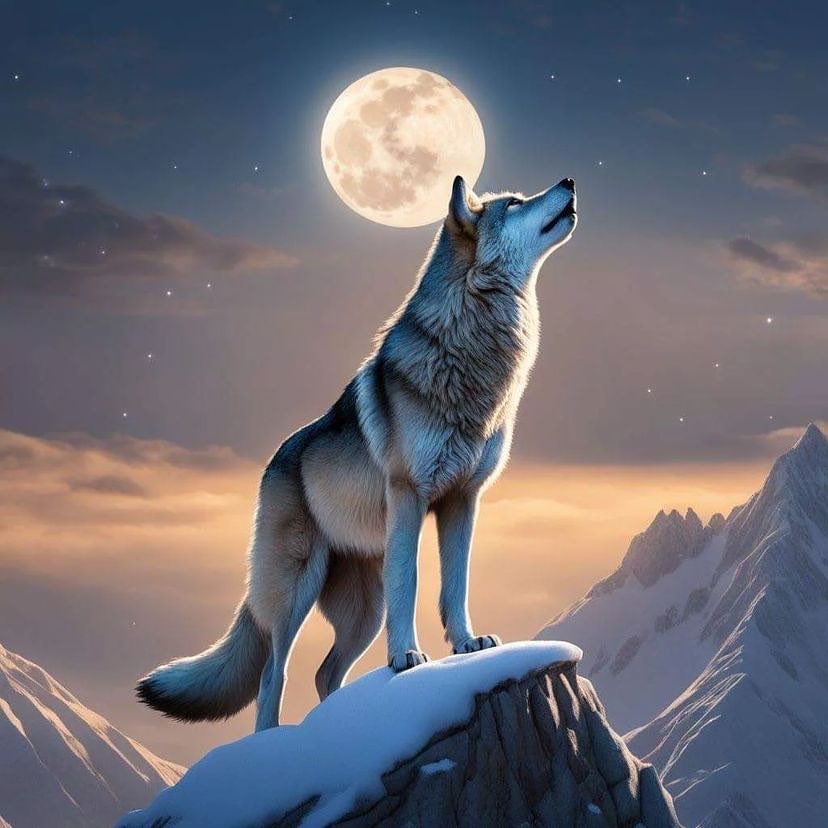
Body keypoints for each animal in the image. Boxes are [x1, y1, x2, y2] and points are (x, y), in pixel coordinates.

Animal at [137, 174, 577, 731]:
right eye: (516, 203)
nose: (568, 181)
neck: (471, 352)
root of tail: (272, 463)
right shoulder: (410, 496)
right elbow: (412, 582)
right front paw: (407, 656)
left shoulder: (463, 500)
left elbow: (455, 584)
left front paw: (467, 645)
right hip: (297, 592)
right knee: (272, 676)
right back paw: (272, 741)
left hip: (363, 611)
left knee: (325, 673)